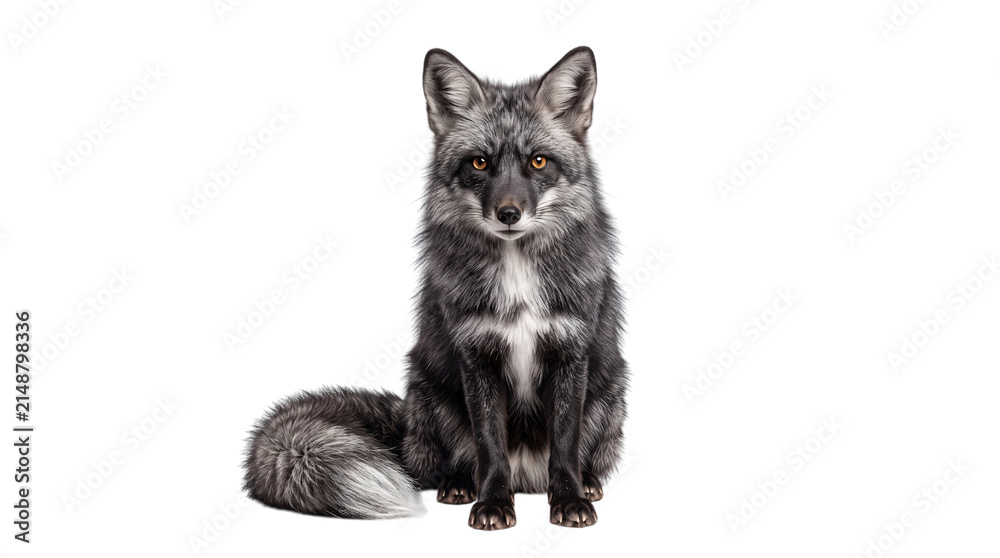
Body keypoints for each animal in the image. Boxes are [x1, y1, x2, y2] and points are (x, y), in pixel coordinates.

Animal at [243, 46, 629, 530]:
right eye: (479, 163)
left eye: (538, 161)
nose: (508, 214)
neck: (517, 277)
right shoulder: (476, 356)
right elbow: (490, 446)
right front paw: (493, 504)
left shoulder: (570, 352)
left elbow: (564, 444)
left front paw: (571, 500)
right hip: (431, 393)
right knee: (446, 464)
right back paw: (460, 485)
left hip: (610, 392)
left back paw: (588, 482)